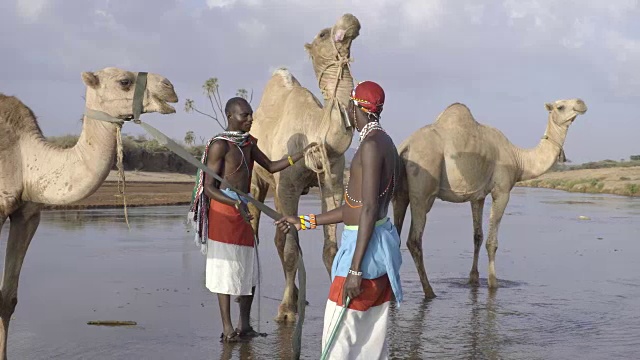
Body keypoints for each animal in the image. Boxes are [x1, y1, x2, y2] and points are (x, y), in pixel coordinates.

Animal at [249, 13, 362, 320]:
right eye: (323, 34)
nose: (350, 19)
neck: (314, 127)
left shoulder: (332, 180)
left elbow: (330, 248)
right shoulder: (287, 185)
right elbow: (291, 249)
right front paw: (287, 311)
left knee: (279, 236)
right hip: (257, 179)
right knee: (256, 226)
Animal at [392, 98, 588, 298]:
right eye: (560, 107)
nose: (581, 103)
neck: (519, 159)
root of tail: (405, 146)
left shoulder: (477, 195)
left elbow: (477, 236)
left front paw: (474, 278)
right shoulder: (501, 191)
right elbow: (492, 242)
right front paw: (493, 283)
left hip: (400, 192)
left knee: (396, 232)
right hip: (423, 187)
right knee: (414, 239)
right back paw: (429, 291)